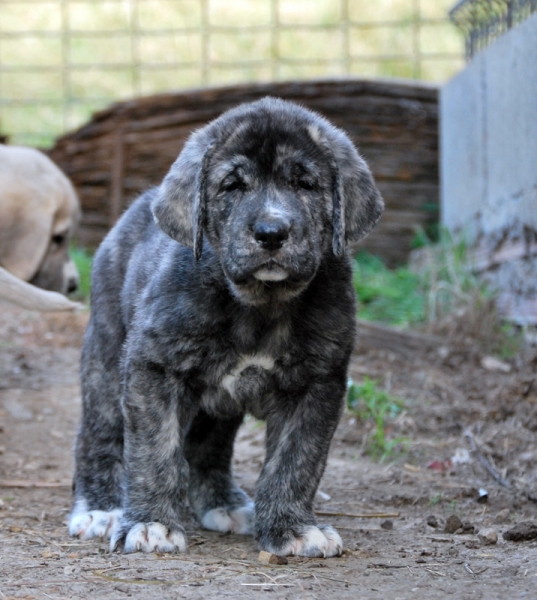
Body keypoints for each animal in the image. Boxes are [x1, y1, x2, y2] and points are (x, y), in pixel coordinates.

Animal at [69, 97, 384, 556]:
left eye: (305, 184)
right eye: (232, 186)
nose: (271, 232)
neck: (259, 306)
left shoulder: (317, 383)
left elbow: (297, 460)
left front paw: (292, 527)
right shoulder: (153, 368)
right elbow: (153, 451)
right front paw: (151, 523)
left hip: (218, 405)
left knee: (208, 446)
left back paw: (225, 503)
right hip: (106, 357)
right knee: (99, 434)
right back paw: (99, 507)